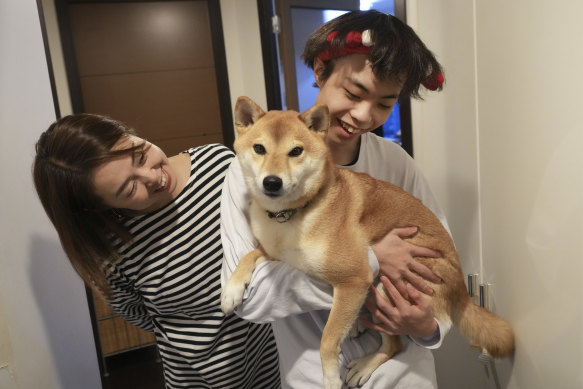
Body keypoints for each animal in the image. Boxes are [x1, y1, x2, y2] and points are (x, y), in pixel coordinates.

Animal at [222, 95, 516, 386]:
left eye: (295, 151)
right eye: (259, 148)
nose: (272, 182)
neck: (294, 214)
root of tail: (462, 289)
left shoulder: (353, 277)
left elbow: (327, 340)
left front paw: (331, 378)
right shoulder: (275, 252)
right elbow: (248, 255)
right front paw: (231, 290)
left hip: (388, 288)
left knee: (394, 345)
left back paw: (365, 364)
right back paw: (355, 326)